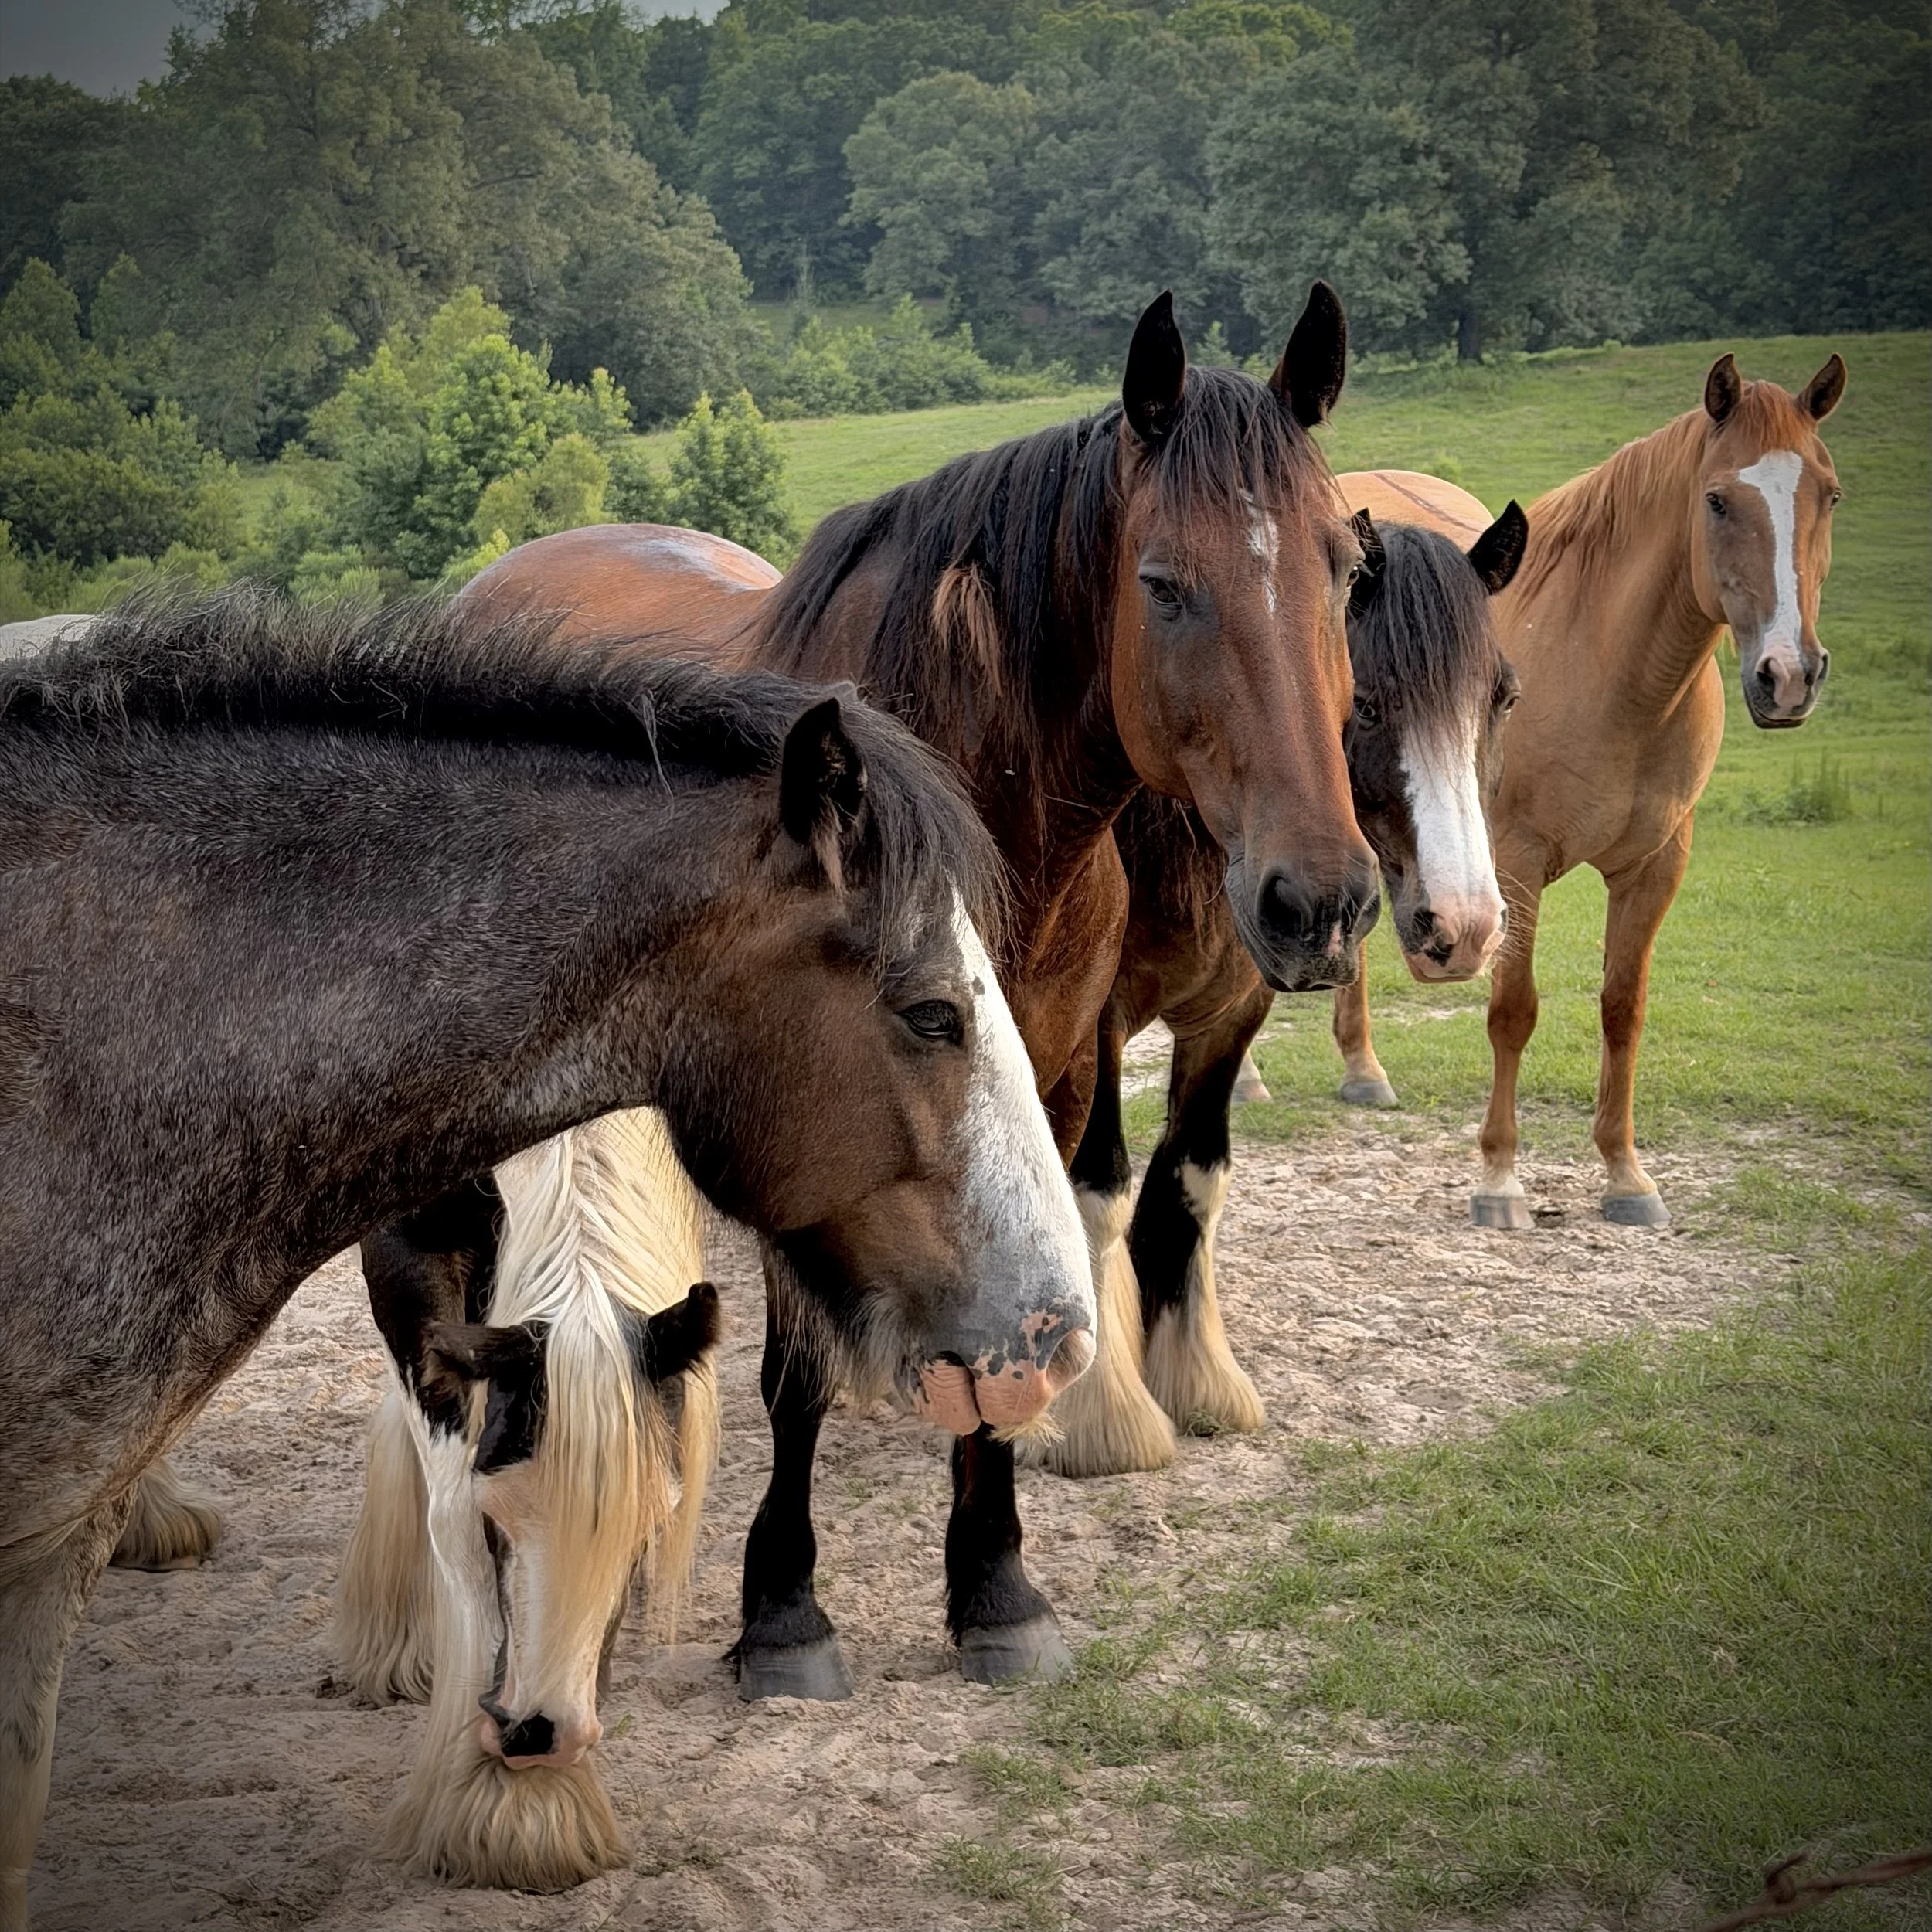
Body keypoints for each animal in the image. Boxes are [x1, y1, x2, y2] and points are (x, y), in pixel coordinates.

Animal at [445, 285, 1377, 1698]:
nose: (1315, 900)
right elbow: (793, 1377)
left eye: (1343, 569)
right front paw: (784, 1611)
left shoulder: (1046, 1087)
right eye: (1163, 585)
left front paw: (995, 1588)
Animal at [1068, 502, 1527, 1445]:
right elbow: (1095, 1185)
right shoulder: (1090, 1022)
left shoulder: (1230, 1014)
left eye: (1501, 696)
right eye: (1369, 701)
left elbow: (1189, 1183)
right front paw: (1101, 1409)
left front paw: (1198, 1379)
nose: (1464, 925)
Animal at [1332, 351, 1847, 1226]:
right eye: (1716, 499)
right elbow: (1513, 1011)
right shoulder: (1512, 864)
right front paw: (1499, 1178)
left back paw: (1364, 1072)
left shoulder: (1655, 865)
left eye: (1829, 494)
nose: (1788, 676)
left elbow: (1622, 1010)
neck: (1616, 674)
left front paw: (1625, 1174)